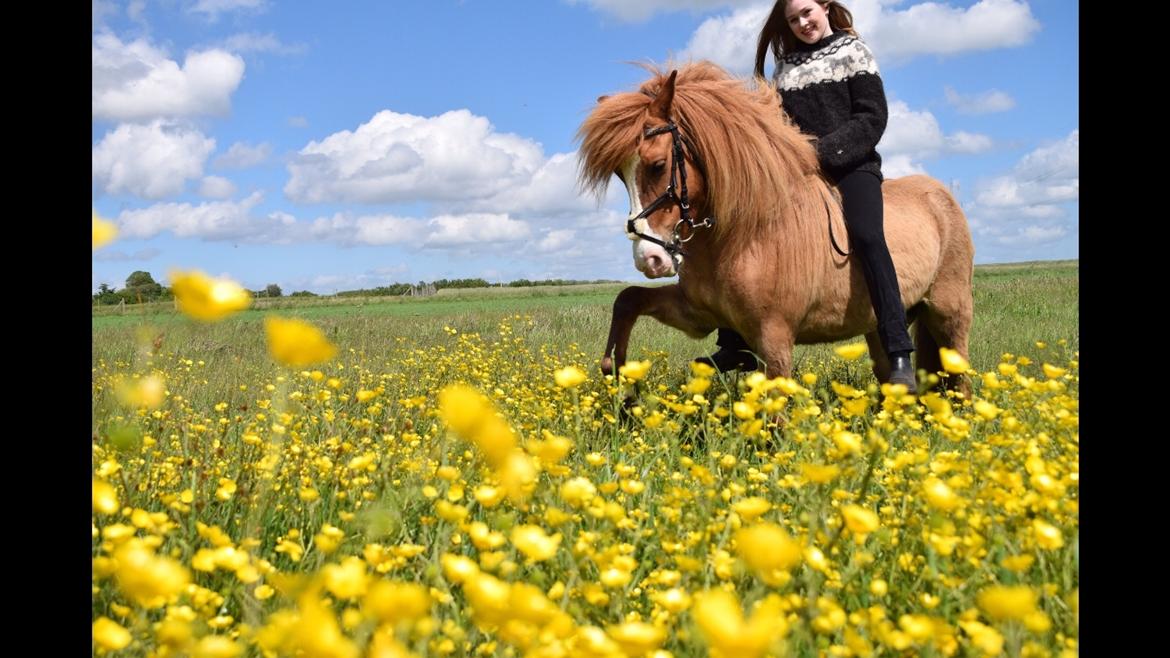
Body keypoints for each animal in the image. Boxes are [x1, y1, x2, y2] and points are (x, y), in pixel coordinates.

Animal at [580, 61, 973, 391]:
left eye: (658, 165)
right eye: (620, 175)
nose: (649, 259)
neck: (747, 234)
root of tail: (943, 197)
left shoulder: (774, 338)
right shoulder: (697, 315)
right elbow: (628, 299)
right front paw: (618, 373)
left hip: (949, 316)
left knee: (960, 380)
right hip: (877, 328)